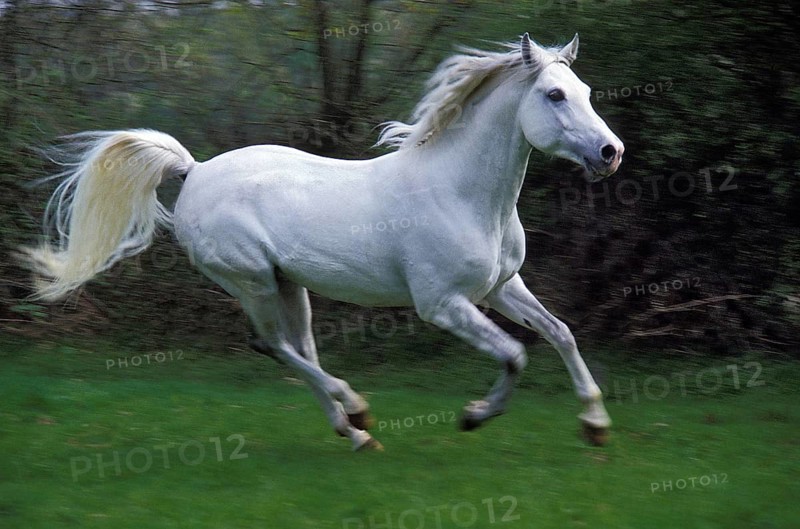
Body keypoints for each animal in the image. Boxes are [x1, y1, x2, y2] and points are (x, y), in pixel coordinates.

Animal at [20, 33, 623, 451]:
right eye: (553, 94)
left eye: (587, 92)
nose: (610, 153)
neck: (462, 193)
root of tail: (195, 170)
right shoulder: (442, 305)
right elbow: (516, 355)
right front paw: (475, 415)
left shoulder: (501, 287)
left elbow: (561, 333)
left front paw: (595, 425)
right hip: (252, 280)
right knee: (271, 345)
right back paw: (356, 410)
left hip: (289, 285)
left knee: (298, 347)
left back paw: (356, 433)